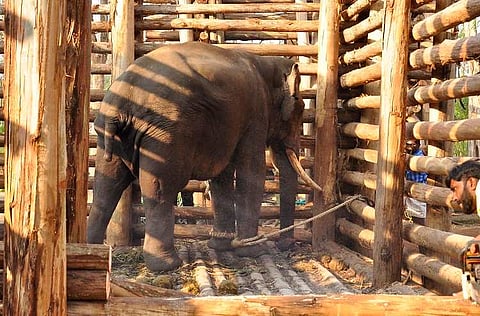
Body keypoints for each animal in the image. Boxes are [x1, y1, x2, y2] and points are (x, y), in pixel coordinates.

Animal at [87, 42, 320, 272]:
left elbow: (222, 174)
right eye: (300, 111)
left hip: (108, 131)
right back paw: (167, 265)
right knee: (161, 188)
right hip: (165, 134)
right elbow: (251, 171)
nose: (286, 246)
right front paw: (253, 250)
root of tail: (124, 99)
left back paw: (93, 251)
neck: (266, 63)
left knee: (106, 185)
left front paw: (220, 245)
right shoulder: (256, 113)